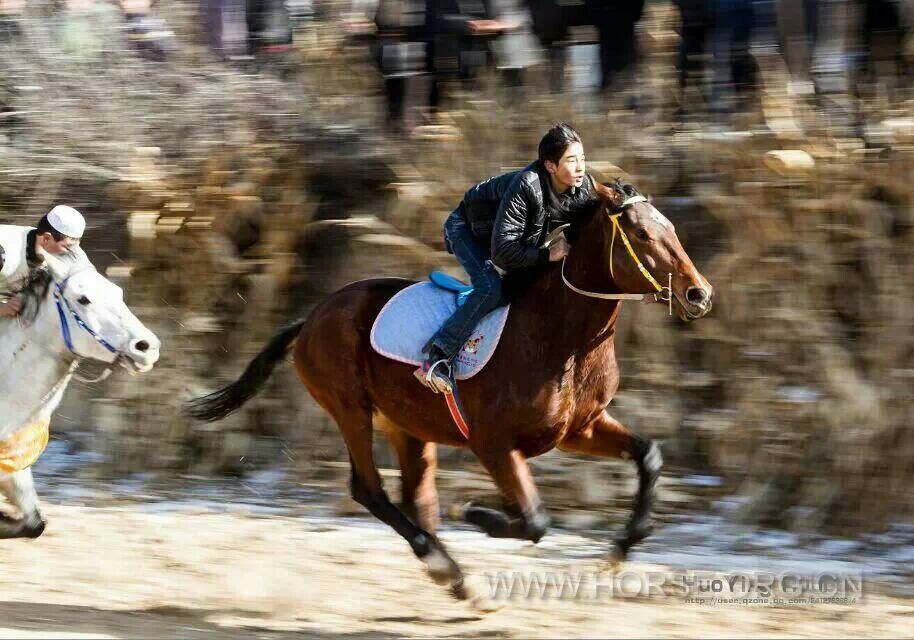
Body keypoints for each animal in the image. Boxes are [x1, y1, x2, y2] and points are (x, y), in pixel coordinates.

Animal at [185, 179, 712, 604]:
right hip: (350, 408)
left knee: (417, 497)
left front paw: (621, 548)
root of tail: (313, 316)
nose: (699, 294)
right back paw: (447, 568)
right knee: (369, 489)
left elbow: (648, 456)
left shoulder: (578, 430)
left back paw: (453, 575)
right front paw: (479, 513)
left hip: (407, 426)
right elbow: (535, 520)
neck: (560, 335)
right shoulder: (494, 445)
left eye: (670, 227)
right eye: (642, 235)